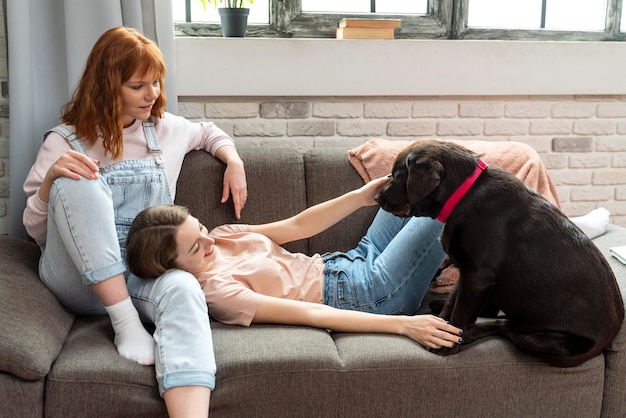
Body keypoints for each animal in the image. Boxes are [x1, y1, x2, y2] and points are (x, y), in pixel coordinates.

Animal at [372, 140, 620, 366]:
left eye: (395, 176)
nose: (376, 198)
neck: (464, 193)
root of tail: (610, 338)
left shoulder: (477, 277)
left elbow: (460, 315)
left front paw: (448, 344)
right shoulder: (467, 273)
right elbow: (453, 301)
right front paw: (440, 326)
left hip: (551, 343)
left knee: (503, 327)